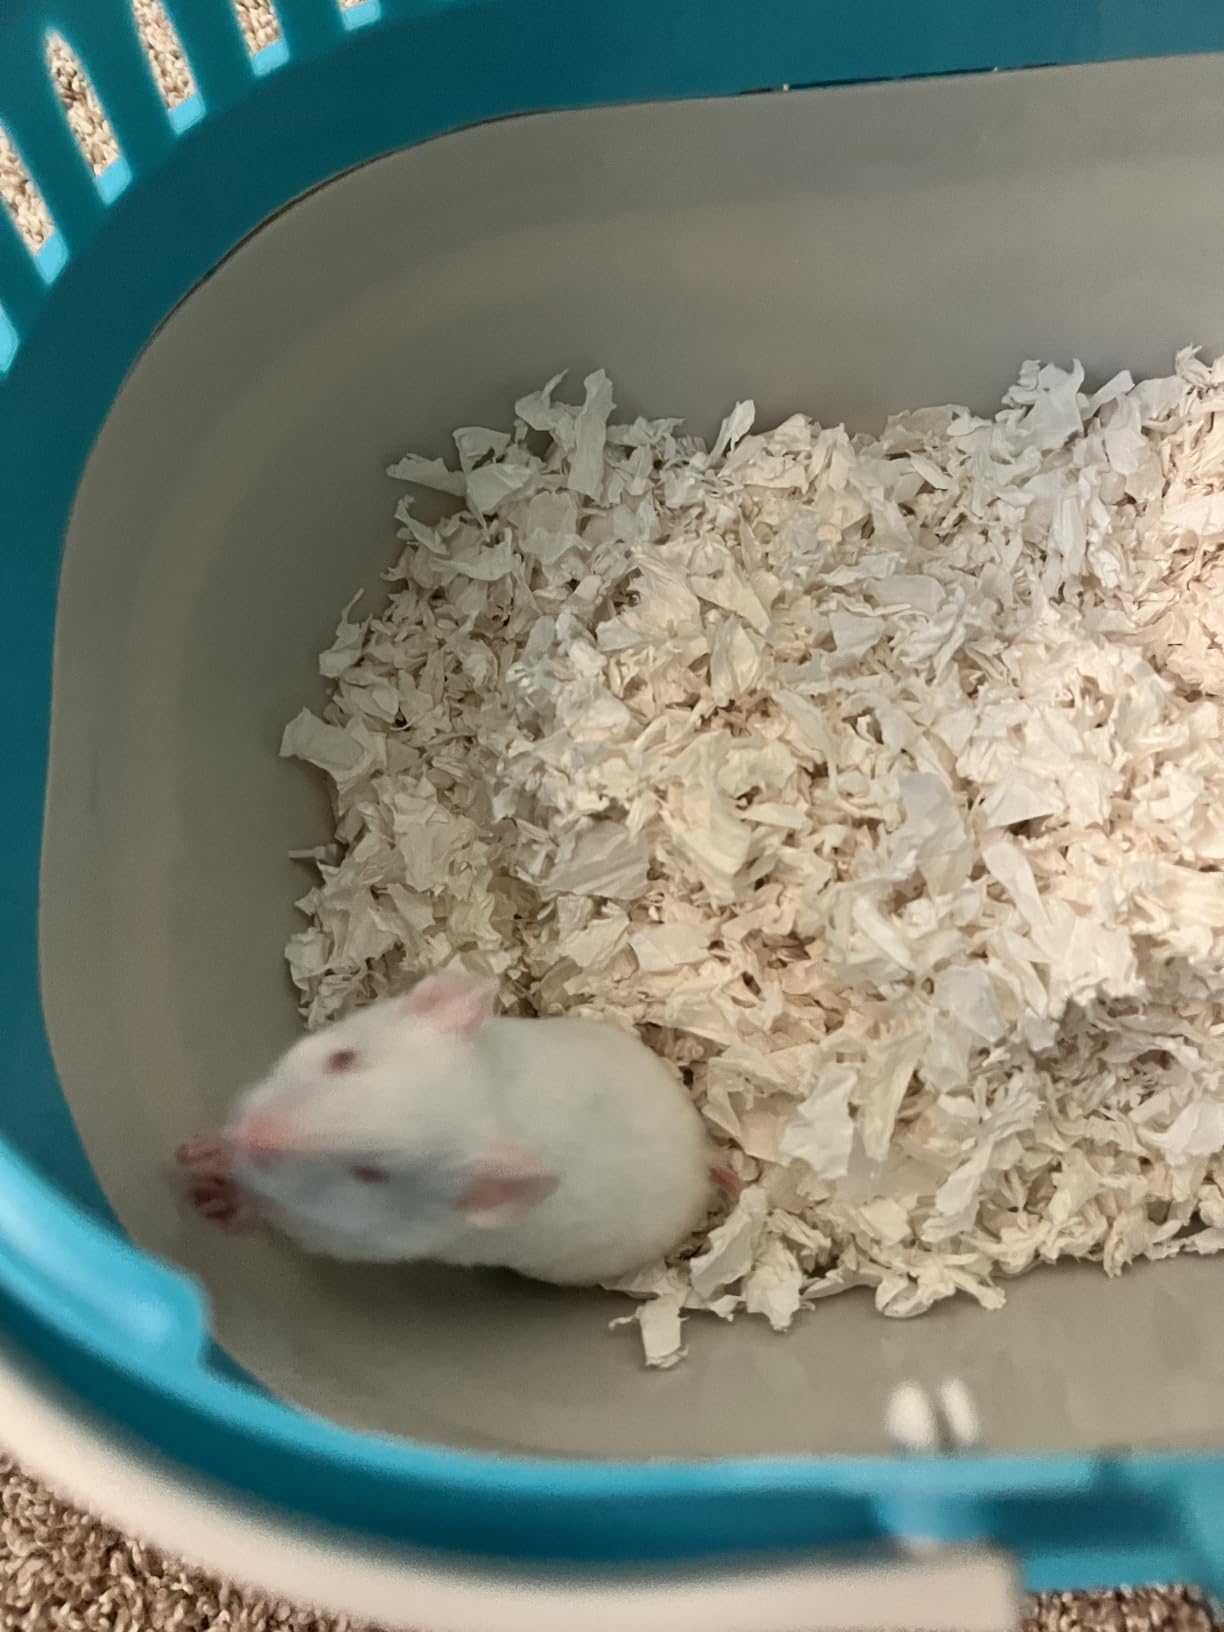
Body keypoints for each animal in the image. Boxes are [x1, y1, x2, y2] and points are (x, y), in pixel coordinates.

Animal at [177, 973, 715, 1286]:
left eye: (371, 1175)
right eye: (342, 1059)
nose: (249, 1134)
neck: (495, 1094)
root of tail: (707, 1158)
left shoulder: (353, 1240)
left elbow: (271, 1212)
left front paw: (215, 1198)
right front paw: (198, 1151)